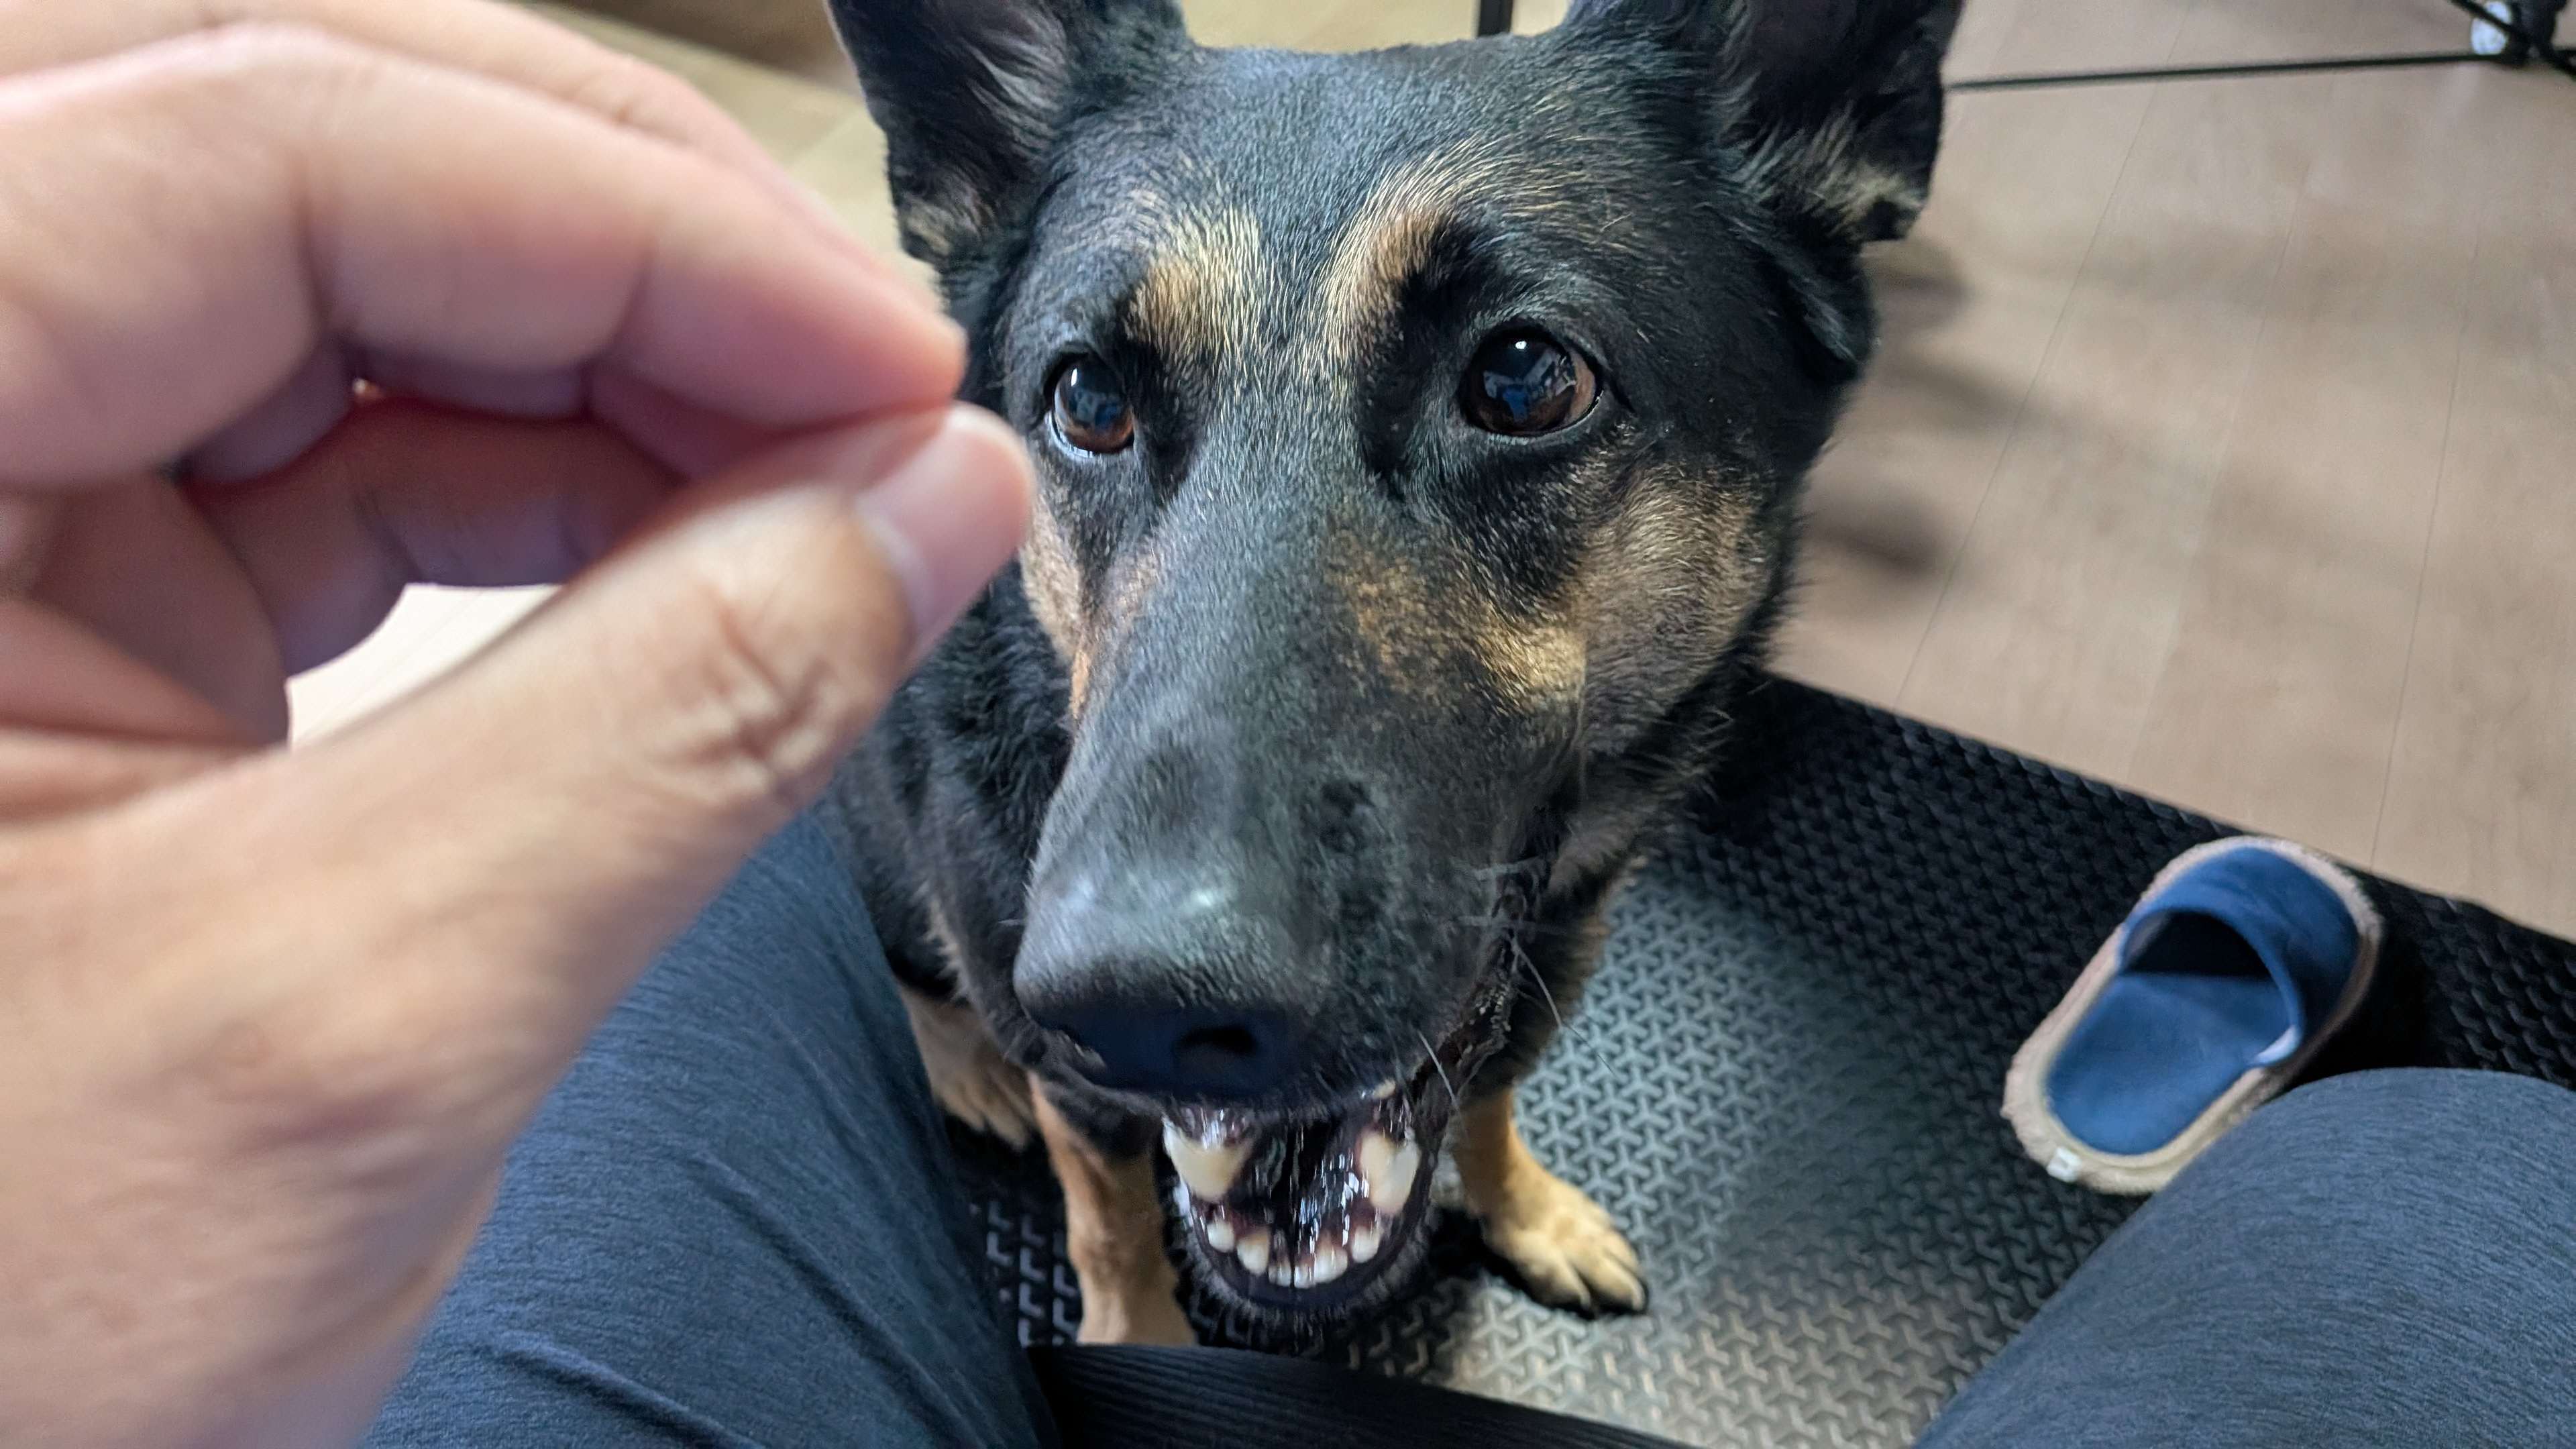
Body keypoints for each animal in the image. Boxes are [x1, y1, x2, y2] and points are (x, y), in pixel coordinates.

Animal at [819, 0, 1958, 1344]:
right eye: (1088, 399)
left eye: (1527, 378)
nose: (1144, 1008)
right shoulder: (1076, 1081)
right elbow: (1112, 1227)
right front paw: (1134, 1337)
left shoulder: (1541, 964)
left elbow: (1490, 1100)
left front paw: (1526, 1209)